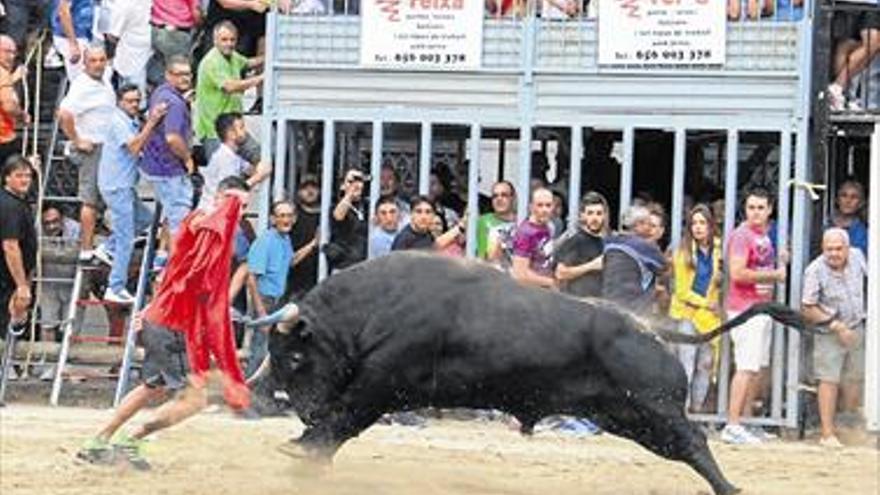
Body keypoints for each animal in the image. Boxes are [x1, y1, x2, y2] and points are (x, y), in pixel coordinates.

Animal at [266, 254, 820, 494]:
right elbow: (341, 426)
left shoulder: (381, 381)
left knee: (696, 443)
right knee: (685, 448)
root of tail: (648, 328)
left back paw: (731, 490)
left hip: (654, 409)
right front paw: (305, 453)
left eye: (294, 359)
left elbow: (344, 418)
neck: (377, 305)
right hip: (627, 418)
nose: (304, 409)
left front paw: (302, 448)